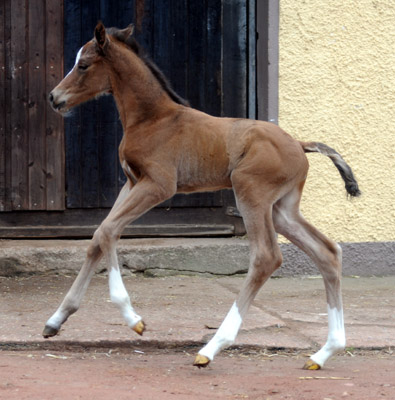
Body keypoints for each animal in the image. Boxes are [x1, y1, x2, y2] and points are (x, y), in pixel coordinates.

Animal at [44, 23, 360, 370]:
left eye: (83, 65)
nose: (54, 97)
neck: (152, 119)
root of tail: (300, 144)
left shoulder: (158, 184)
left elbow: (108, 231)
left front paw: (133, 319)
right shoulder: (131, 183)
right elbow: (98, 236)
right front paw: (56, 320)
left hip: (250, 193)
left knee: (266, 257)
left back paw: (211, 348)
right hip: (281, 209)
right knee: (327, 252)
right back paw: (325, 352)